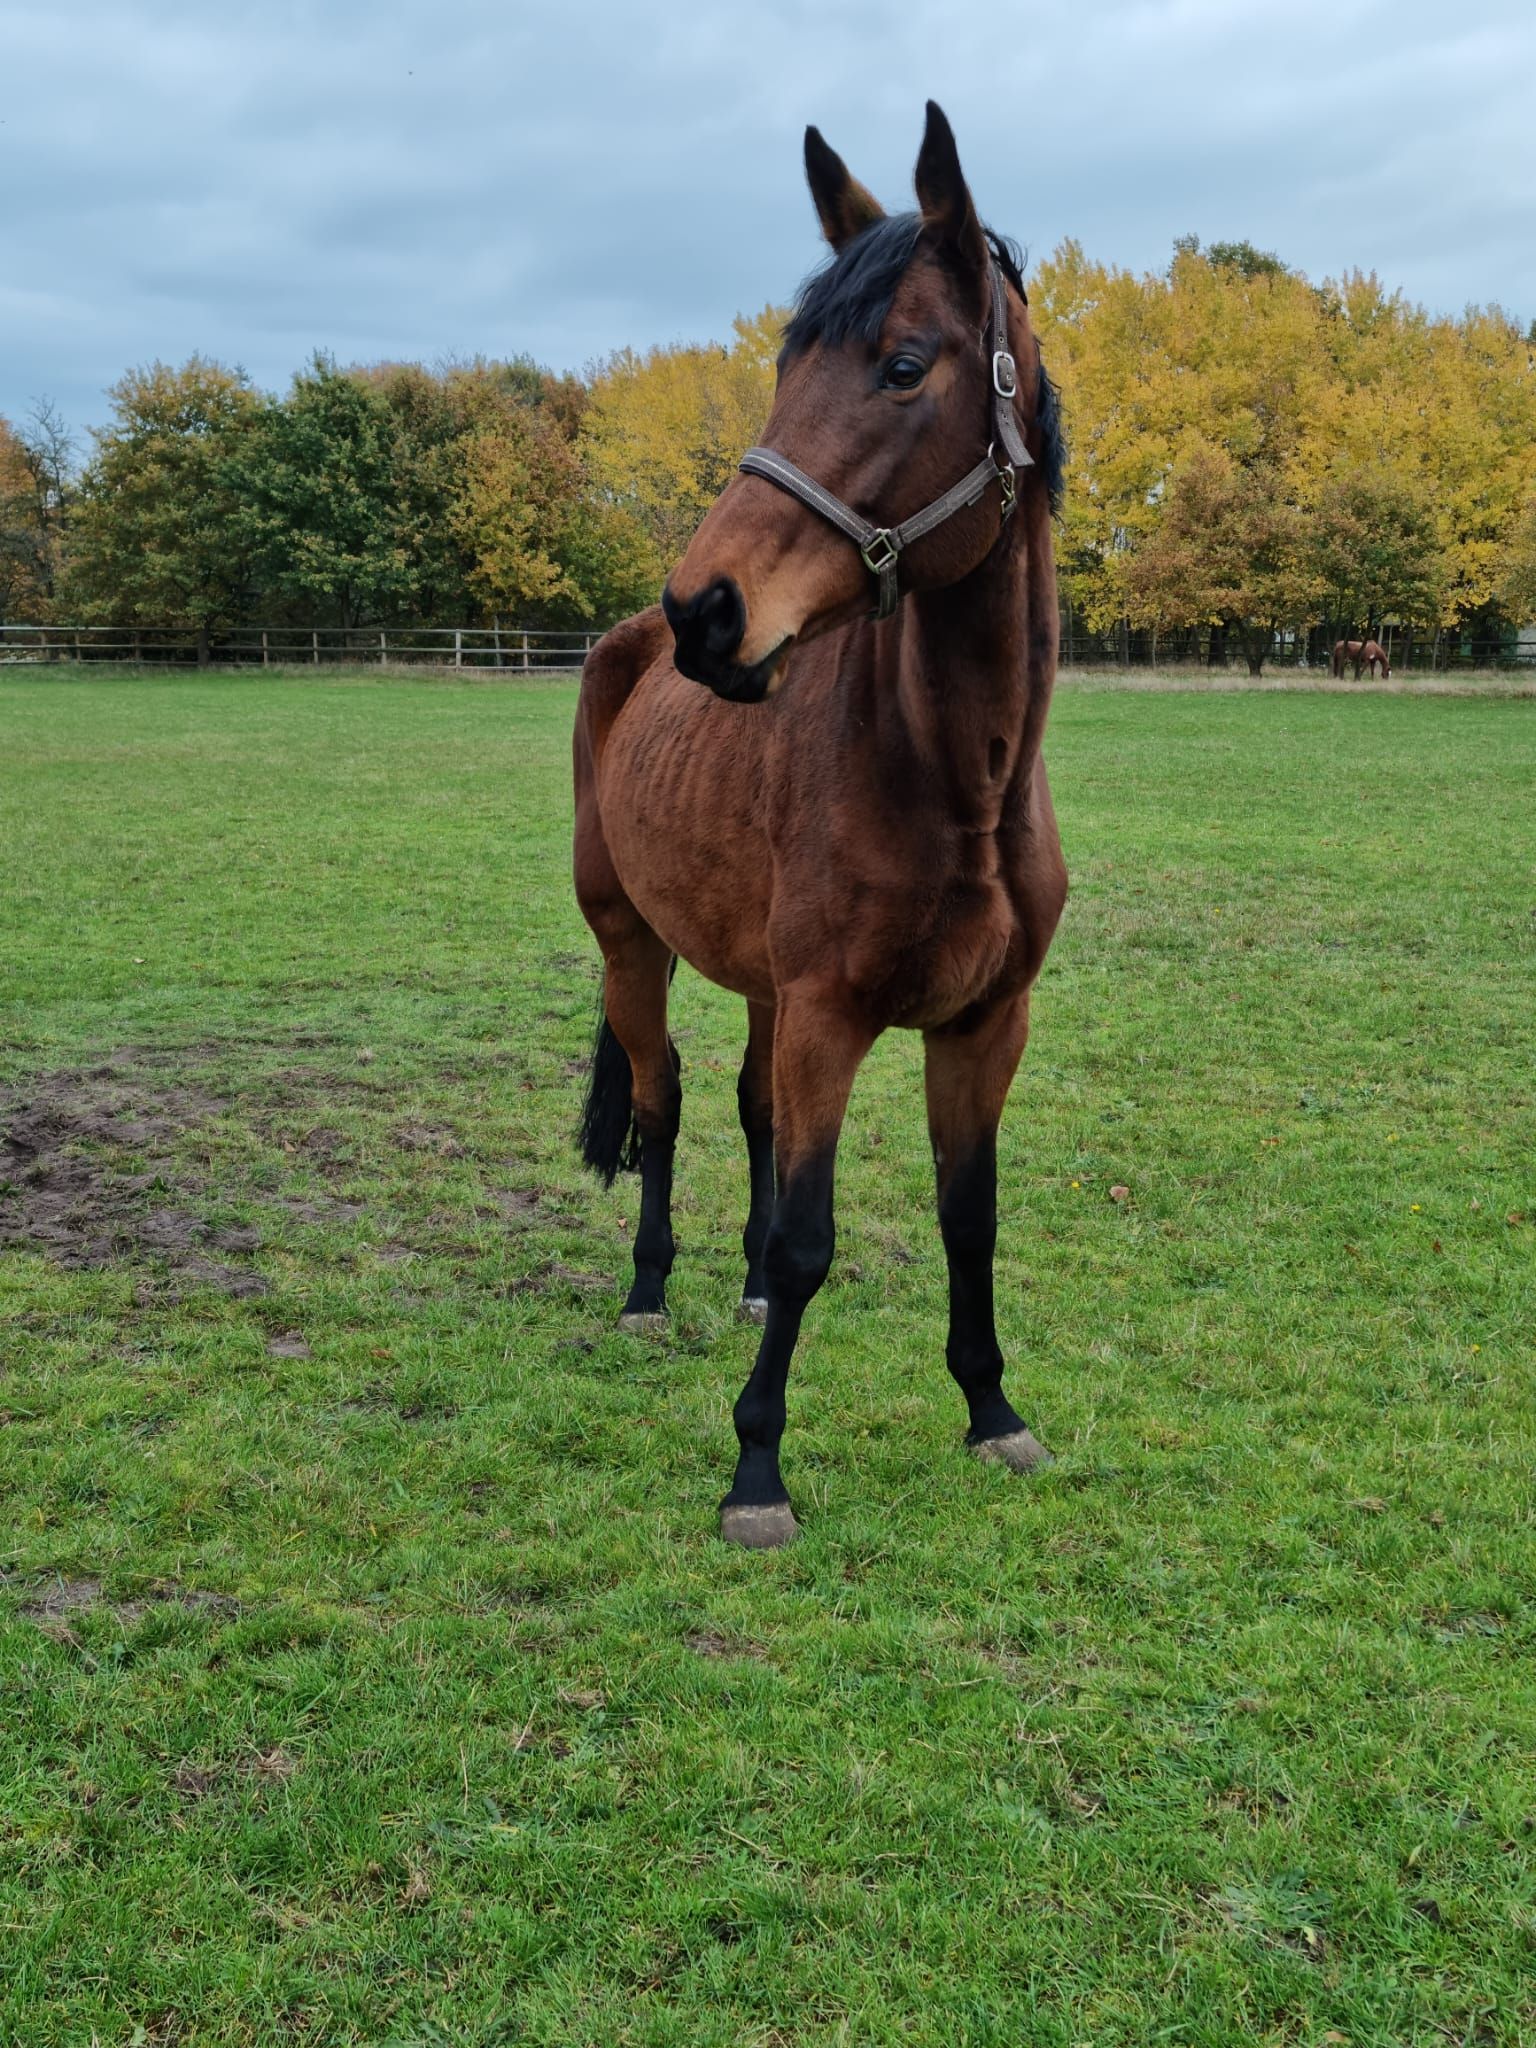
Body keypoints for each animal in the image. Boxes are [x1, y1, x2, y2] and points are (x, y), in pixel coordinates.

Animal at [572, 102, 1068, 1548]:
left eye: (904, 364)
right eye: (788, 366)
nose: (705, 613)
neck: (960, 784)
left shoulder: (981, 1024)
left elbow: (970, 1219)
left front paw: (992, 1410)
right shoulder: (833, 1015)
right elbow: (809, 1236)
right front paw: (756, 1471)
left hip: (756, 983)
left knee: (743, 1107)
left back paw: (728, 1286)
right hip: (632, 945)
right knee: (666, 1103)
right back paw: (648, 1292)